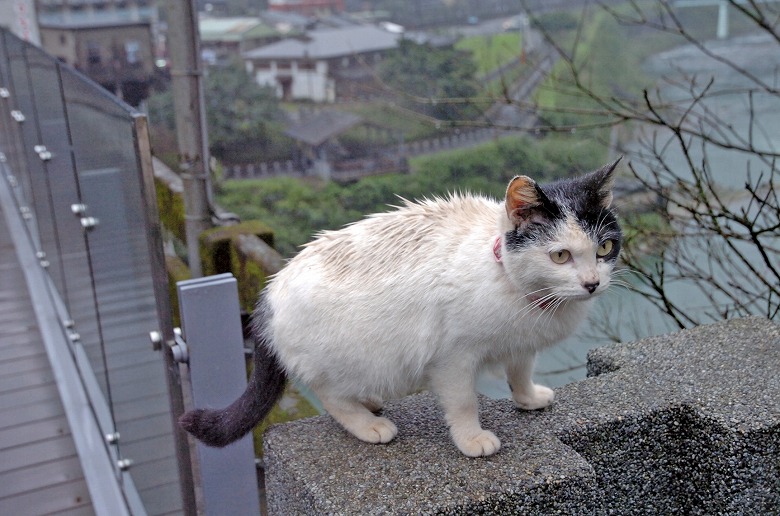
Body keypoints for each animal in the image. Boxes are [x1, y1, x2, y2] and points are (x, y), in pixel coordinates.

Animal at [180, 159, 624, 458]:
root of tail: (269, 293)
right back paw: (369, 423)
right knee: (330, 394)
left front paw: (528, 398)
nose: (592, 283)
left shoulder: (522, 345)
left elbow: (520, 370)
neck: (514, 285)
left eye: (604, 247)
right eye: (560, 255)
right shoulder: (453, 358)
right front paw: (471, 438)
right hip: (351, 352)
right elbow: (463, 401)